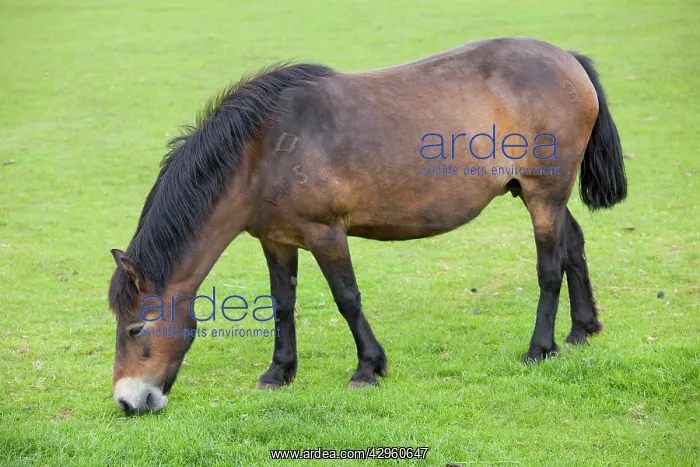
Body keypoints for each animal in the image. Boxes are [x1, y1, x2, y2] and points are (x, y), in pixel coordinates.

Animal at [108, 37, 627, 415]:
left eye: (134, 329)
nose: (129, 402)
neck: (263, 151)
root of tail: (568, 59)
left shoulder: (326, 234)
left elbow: (347, 299)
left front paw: (368, 368)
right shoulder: (276, 241)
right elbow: (283, 304)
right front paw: (279, 373)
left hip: (544, 194)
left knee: (549, 267)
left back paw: (540, 348)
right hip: (539, 194)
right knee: (574, 246)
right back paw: (582, 330)